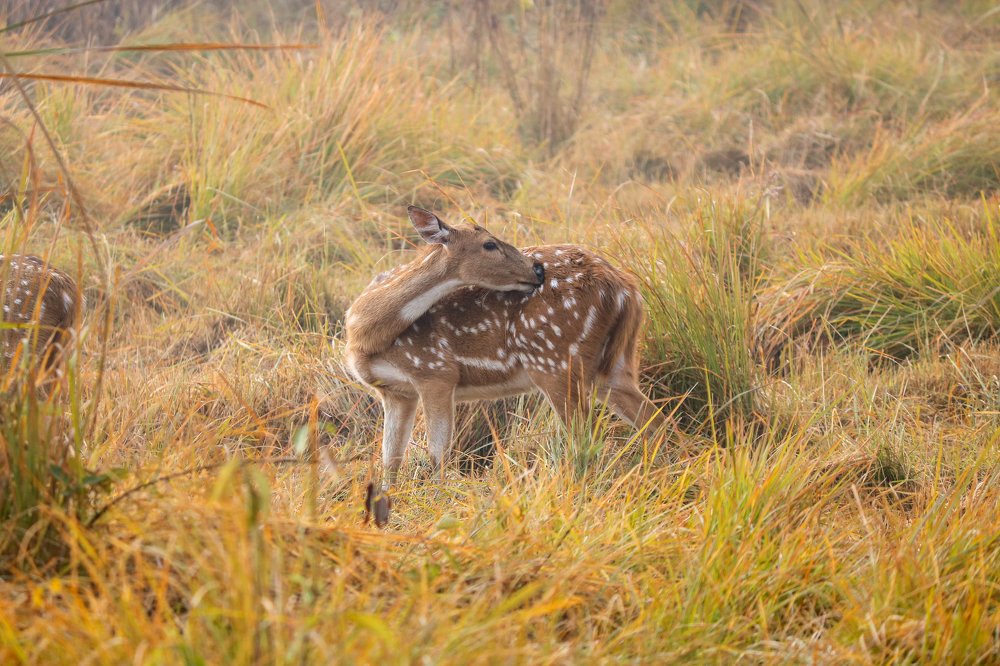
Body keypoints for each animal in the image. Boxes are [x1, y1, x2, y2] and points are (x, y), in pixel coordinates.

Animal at [344, 206, 667, 524]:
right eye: (490, 244)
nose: (537, 269)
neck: (365, 333)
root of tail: (625, 288)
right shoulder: (396, 392)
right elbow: (391, 457)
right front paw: (386, 512)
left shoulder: (436, 371)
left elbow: (437, 453)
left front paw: (437, 505)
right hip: (614, 367)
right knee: (656, 421)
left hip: (556, 360)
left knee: (585, 438)